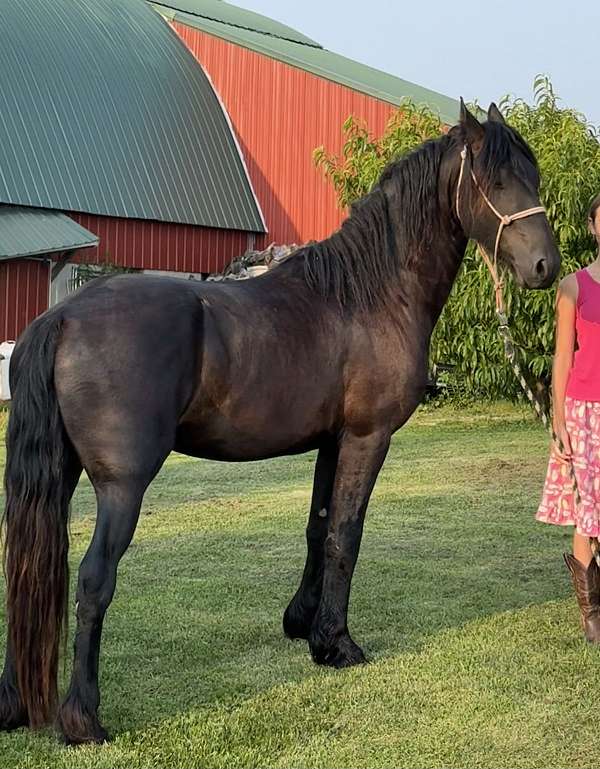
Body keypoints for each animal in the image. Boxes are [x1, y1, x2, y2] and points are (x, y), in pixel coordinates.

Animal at [0, 101, 560, 744]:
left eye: (533, 176)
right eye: (498, 181)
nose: (546, 266)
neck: (370, 294)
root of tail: (63, 317)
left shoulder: (331, 442)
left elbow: (319, 529)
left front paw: (302, 623)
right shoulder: (367, 438)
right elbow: (346, 534)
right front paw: (337, 645)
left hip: (58, 476)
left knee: (26, 571)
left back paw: (16, 705)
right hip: (122, 487)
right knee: (93, 581)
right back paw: (83, 719)